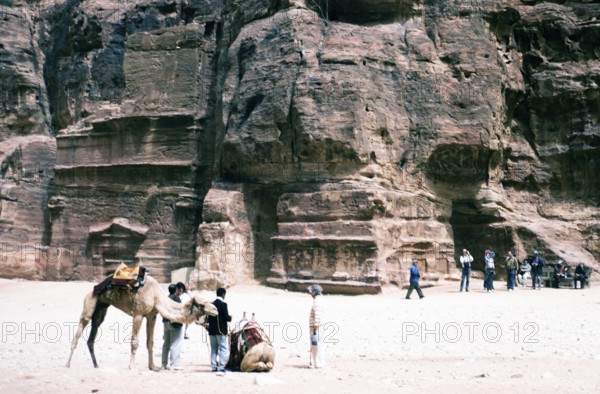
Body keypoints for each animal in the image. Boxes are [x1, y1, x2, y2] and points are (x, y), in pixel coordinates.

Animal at [65, 276, 218, 370]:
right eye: (202, 304)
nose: (215, 310)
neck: (156, 295)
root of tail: (94, 288)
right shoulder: (138, 314)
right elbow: (134, 342)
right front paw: (131, 366)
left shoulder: (151, 316)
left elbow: (150, 342)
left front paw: (153, 366)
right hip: (90, 302)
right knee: (80, 328)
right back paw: (67, 364)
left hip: (102, 307)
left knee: (93, 331)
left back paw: (96, 365)